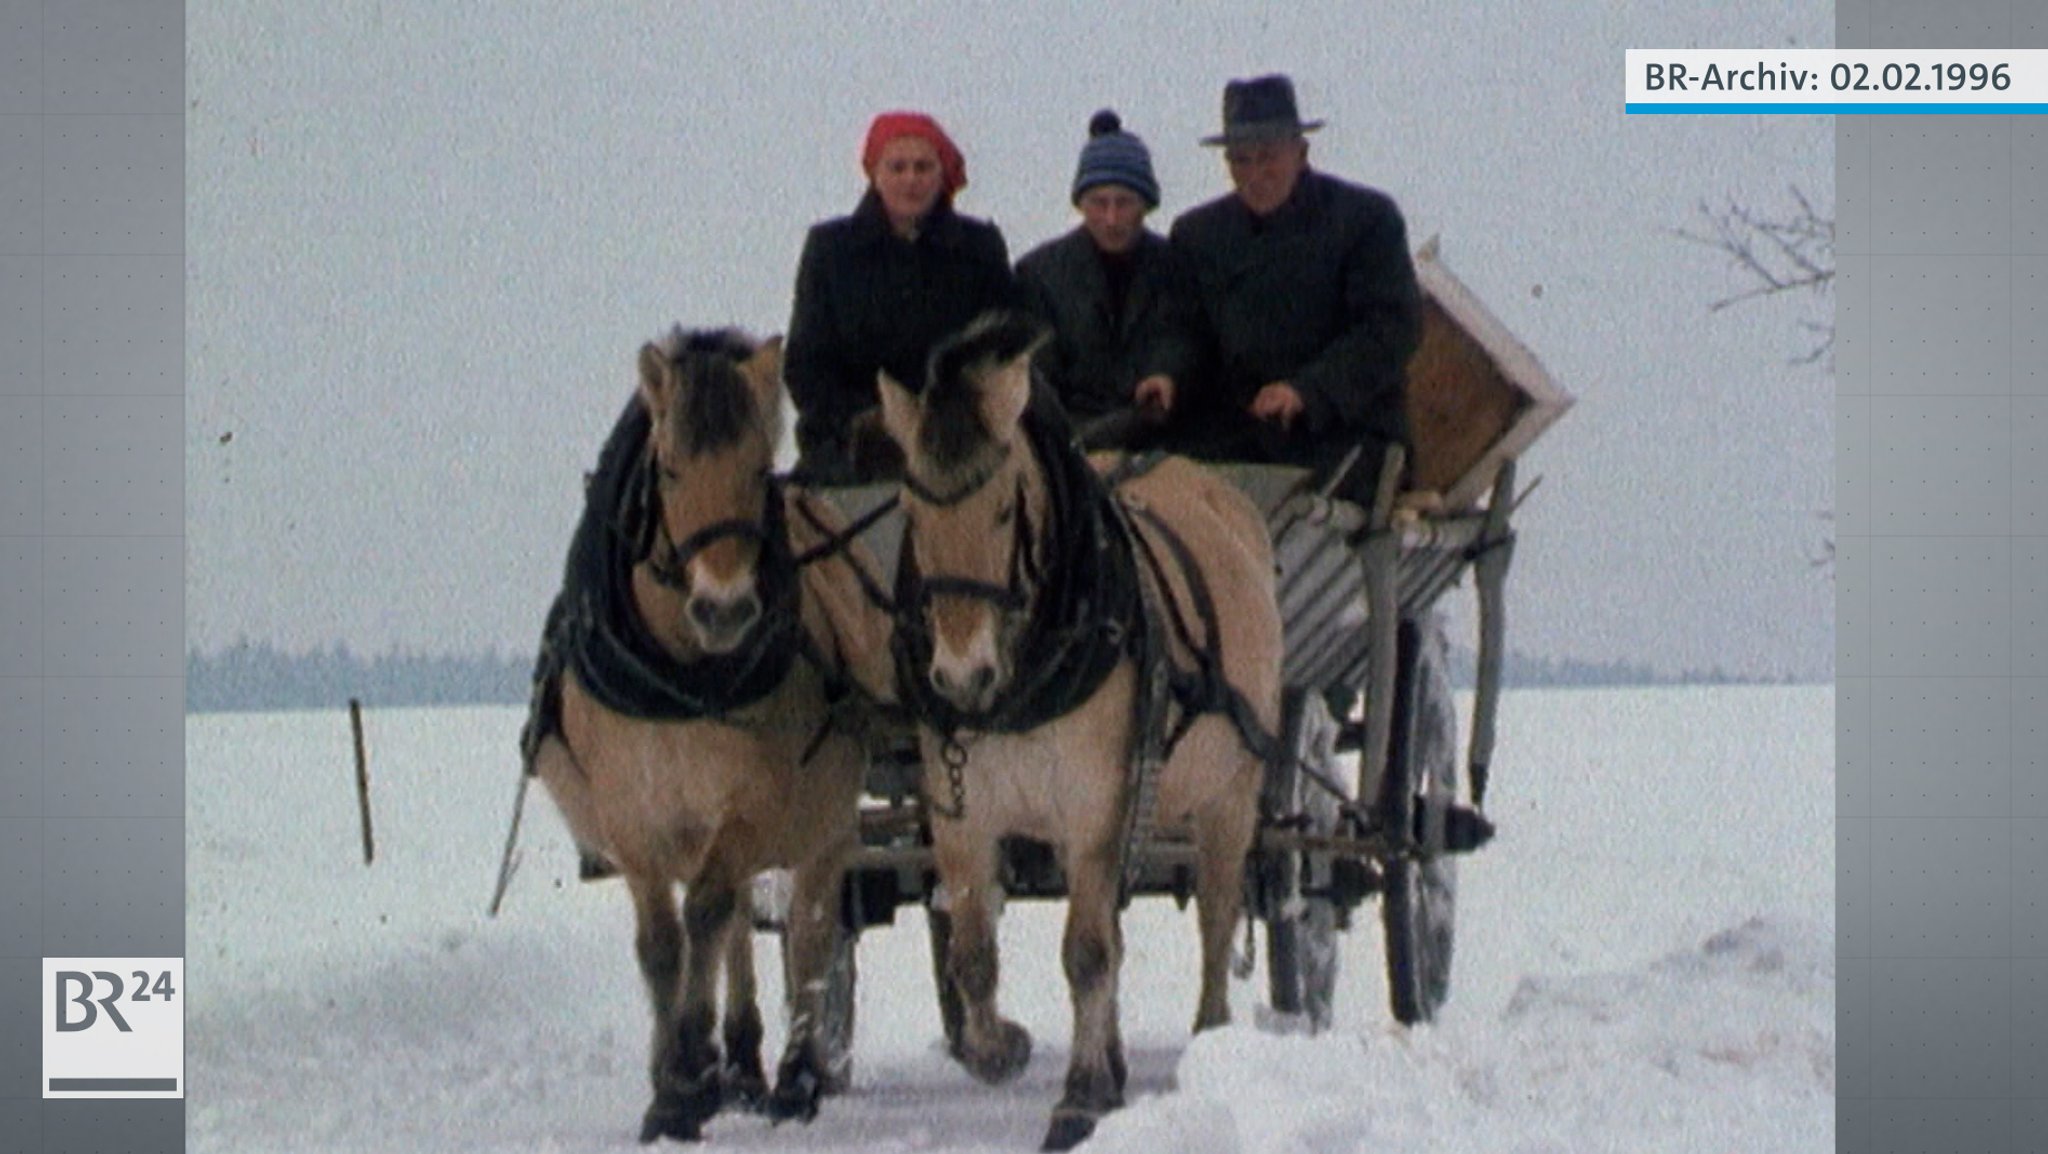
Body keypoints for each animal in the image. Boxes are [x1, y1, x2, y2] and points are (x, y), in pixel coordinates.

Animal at [520, 327, 888, 1147]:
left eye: (758, 470)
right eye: (670, 467)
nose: (724, 610)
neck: (682, 677)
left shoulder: (749, 807)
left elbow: (710, 915)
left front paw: (691, 1071)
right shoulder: (636, 814)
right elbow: (665, 945)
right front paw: (672, 1089)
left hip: (825, 827)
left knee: (810, 929)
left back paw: (795, 1076)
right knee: (746, 929)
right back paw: (743, 1065)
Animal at [876, 311, 1277, 1147]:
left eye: (1003, 509)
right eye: (912, 512)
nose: (962, 677)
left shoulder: (1096, 808)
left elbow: (1088, 952)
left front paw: (1079, 1095)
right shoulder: (962, 815)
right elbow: (974, 953)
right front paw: (1002, 1049)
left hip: (1230, 791)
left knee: (1217, 913)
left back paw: (1210, 1041)